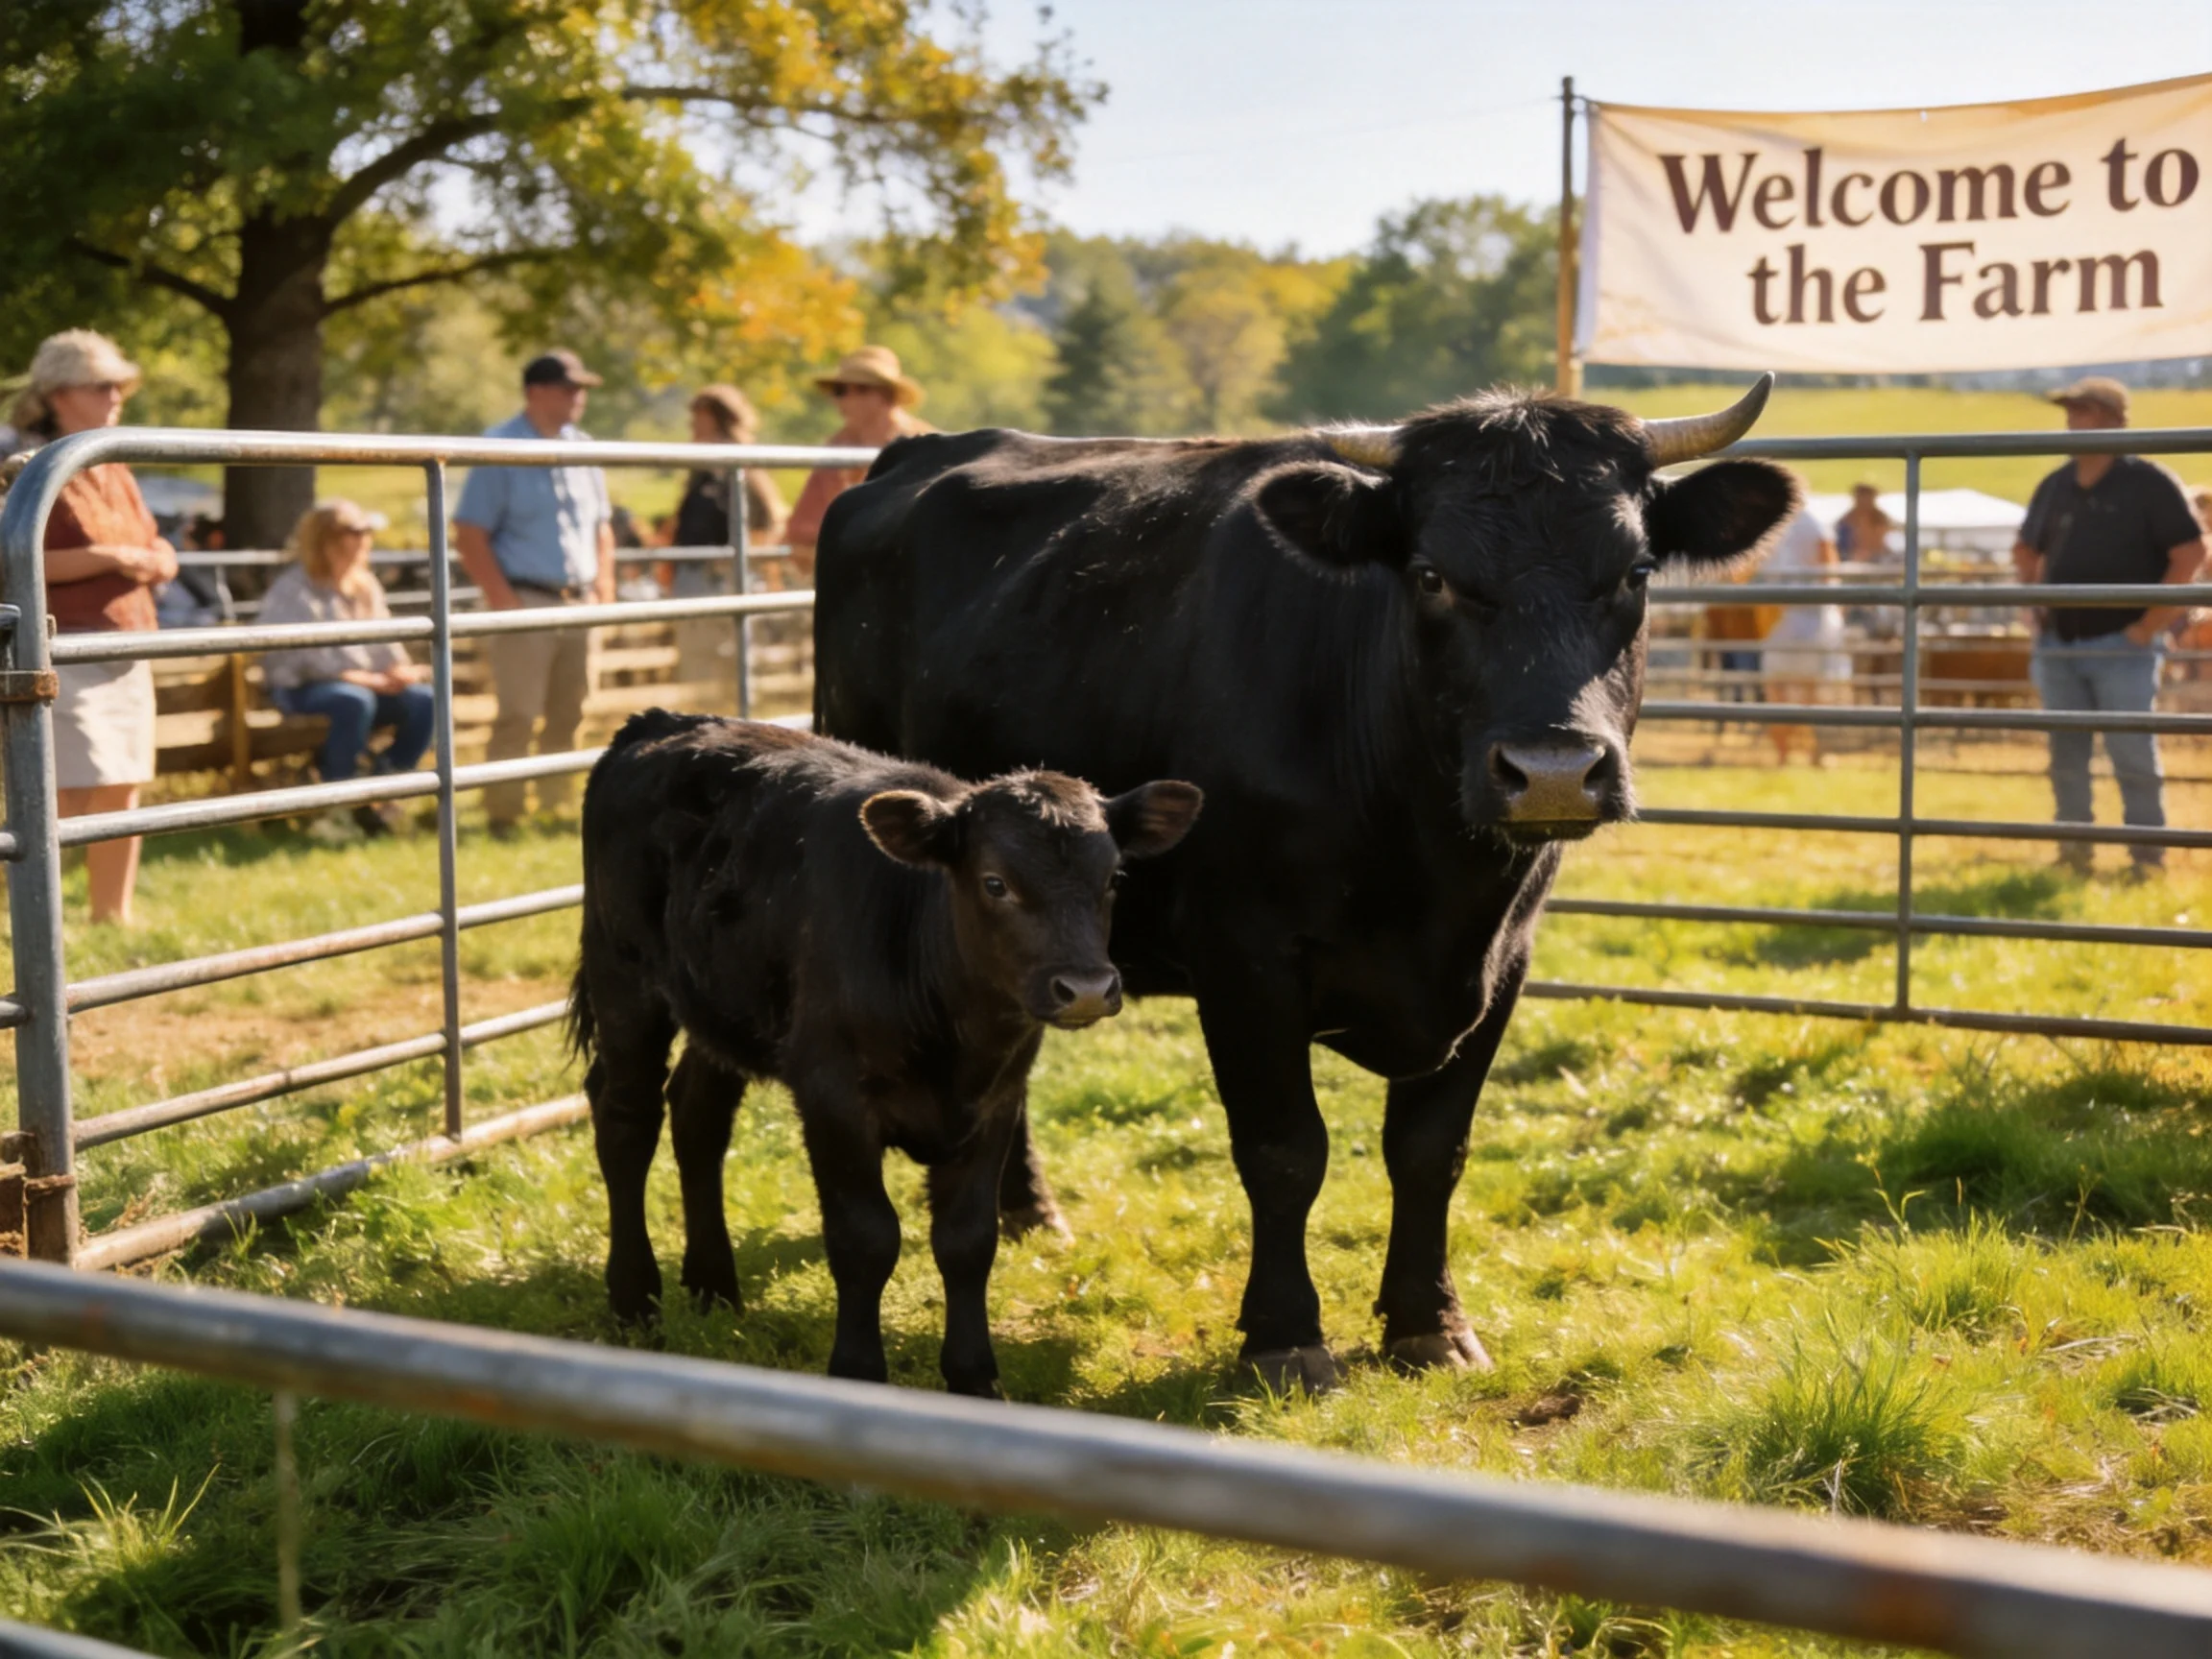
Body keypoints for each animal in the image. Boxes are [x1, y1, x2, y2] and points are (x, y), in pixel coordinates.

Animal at [569, 711, 1201, 1396]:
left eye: (1113, 880)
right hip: (624, 980)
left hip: (720, 1005)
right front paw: (858, 1372)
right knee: (626, 1120)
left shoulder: (996, 1102)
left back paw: (714, 1287)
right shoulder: (832, 1096)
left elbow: (967, 1241)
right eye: (995, 883)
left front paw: (975, 1379)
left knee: (697, 1118)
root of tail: (660, 724)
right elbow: (865, 1237)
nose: (1086, 987)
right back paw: (635, 1300)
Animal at [812, 378, 1796, 1390]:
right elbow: (1285, 1150)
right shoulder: (1245, 960)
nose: (1554, 770)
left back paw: (1029, 1210)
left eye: (1636, 572)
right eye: (1431, 575)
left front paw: (1429, 1322)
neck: (1430, 874)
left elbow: (1430, 1150)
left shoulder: (1505, 963)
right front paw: (1286, 1334)